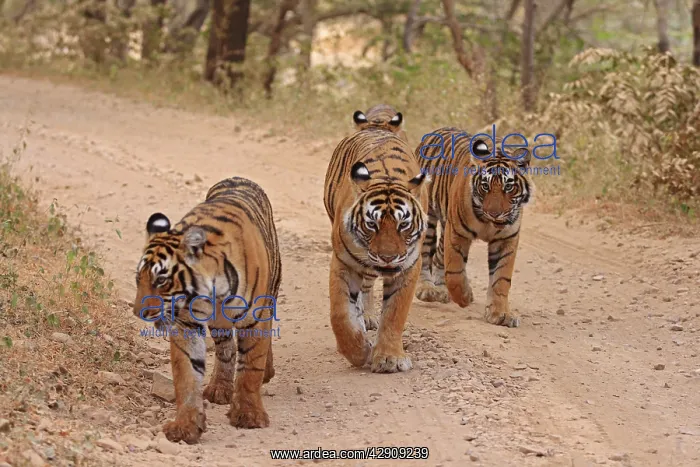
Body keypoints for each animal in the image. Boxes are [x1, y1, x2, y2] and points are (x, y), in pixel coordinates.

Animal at [132, 176, 282, 444]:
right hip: (219, 322)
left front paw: (249, 415)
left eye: (161, 280)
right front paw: (185, 426)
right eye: (139, 279)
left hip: (271, 291)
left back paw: (266, 371)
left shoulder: (255, 318)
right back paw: (219, 388)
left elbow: (251, 366)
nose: (139, 312)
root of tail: (238, 177)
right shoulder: (186, 324)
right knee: (225, 349)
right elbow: (186, 373)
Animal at [323, 122, 428, 373]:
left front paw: (390, 359)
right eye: (372, 224)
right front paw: (359, 351)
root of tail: (375, 126)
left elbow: (394, 313)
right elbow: (340, 314)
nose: (388, 257)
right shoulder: (343, 262)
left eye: (403, 224)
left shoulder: (409, 266)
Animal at [413, 127, 534, 328]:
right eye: (485, 186)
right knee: (425, 253)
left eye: (508, 187)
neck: (488, 222)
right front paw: (464, 297)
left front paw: (500, 314)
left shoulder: (505, 239)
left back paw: (441, 290)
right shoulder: (456, 233)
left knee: (438, 256)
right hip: (428, 216)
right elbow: (454, 271)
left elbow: (501, 279)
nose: (495, 214)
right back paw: (427, 289)